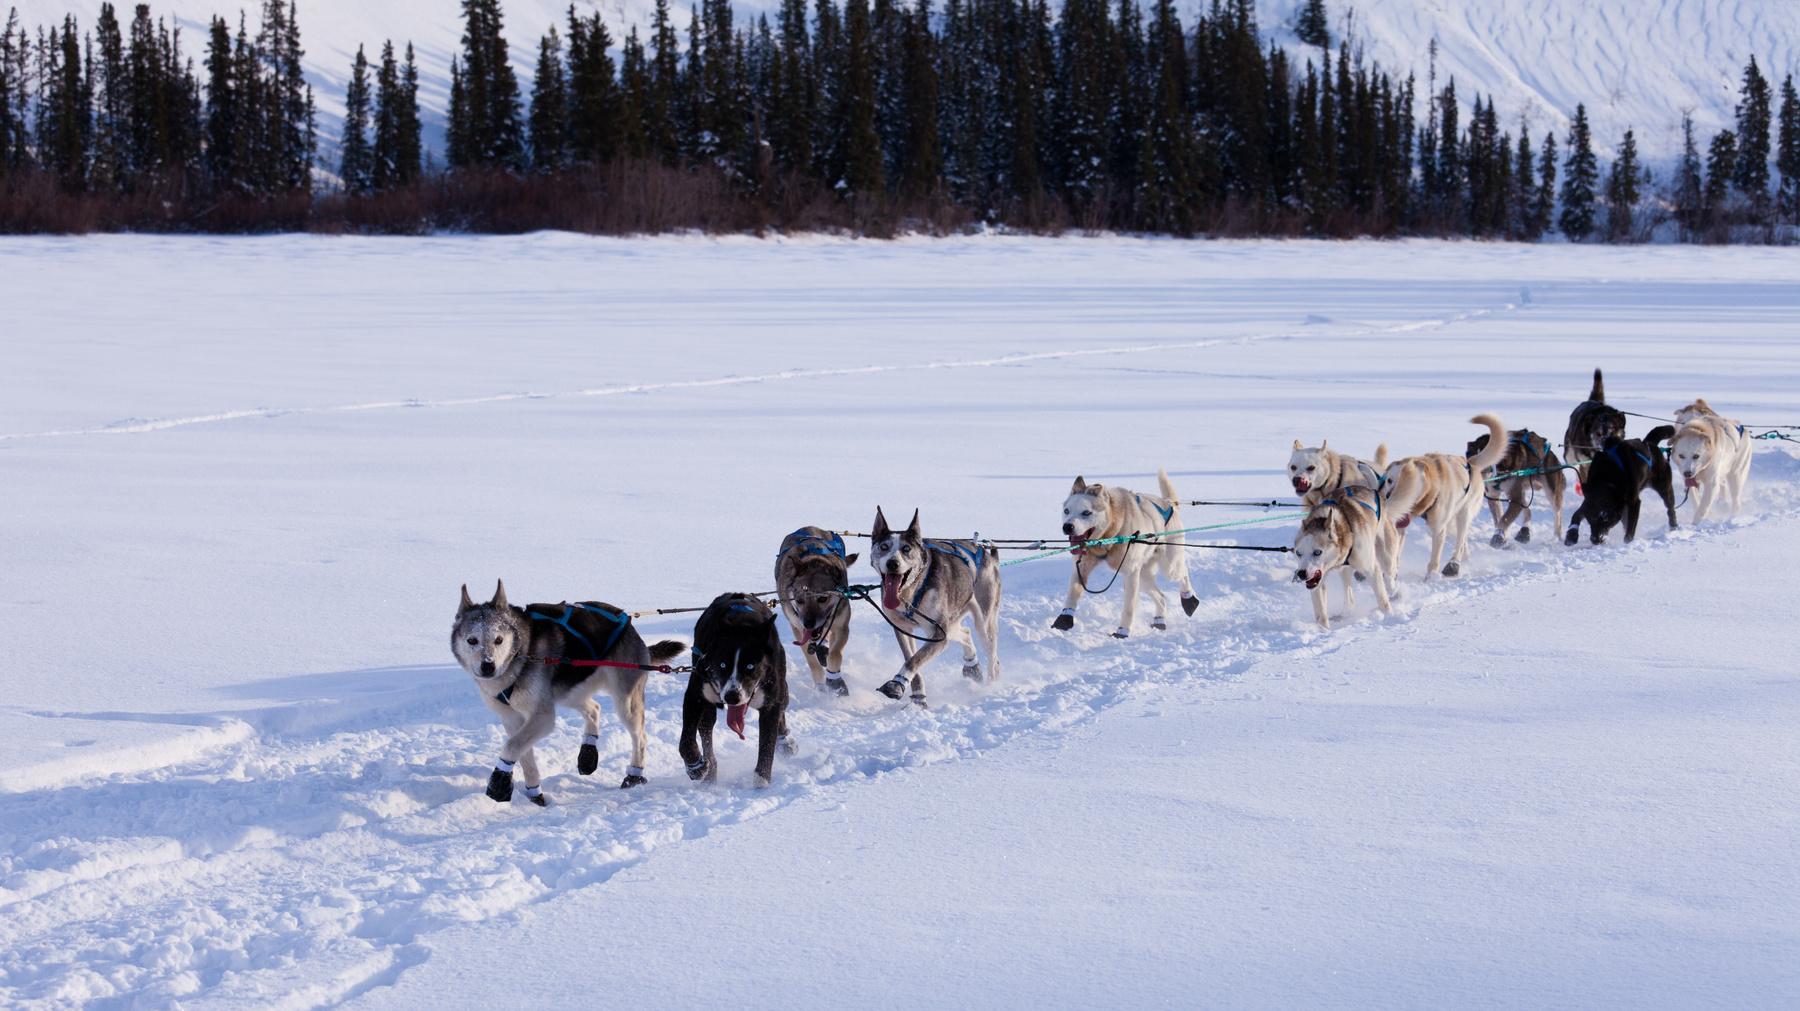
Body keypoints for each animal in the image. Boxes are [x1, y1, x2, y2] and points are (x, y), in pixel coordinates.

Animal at [453, 582, 684, 802]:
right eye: (472, 640)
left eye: (499, 639)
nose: (487, 666)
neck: (521, 653)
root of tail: (628, 622)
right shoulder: (512, 718)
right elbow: (524, 755)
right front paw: (533, 792)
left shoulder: (542, 716)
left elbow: (512, 746)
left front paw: (499, 780)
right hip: (569, 692)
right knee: (595, 708)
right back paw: (588, 753)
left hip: (625, 703)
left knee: (640, 737)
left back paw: (634, 774)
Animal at [676, 590, 792, 787]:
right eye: (722, 665)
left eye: (750, 666)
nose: (732, 696)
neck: (741, 624)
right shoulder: (695, 696)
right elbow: (686, 741)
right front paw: (695, 767)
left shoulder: (770, 704)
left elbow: (767, 748)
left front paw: (761, 785)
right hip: (708, 709)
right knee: (706, 733)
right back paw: (709, 773)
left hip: (782, 691)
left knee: (782, 710)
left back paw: (785, 741)